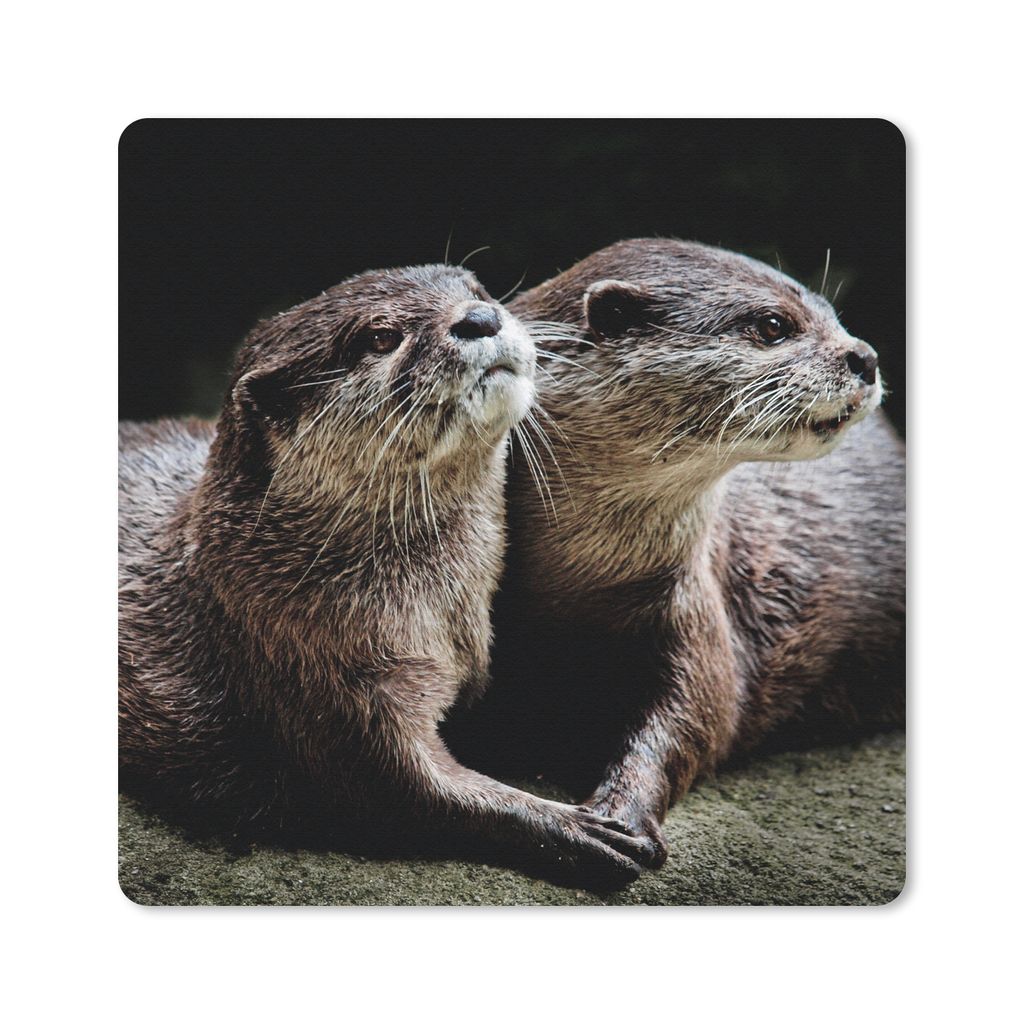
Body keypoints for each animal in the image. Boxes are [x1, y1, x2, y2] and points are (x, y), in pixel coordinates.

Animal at [119, 264, 653, 888]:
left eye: (477, 291)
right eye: (379, 338)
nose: (480, 318)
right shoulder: (316, 673)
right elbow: (403, 790)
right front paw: (576, 826)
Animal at [445, 240, 905, 868]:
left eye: (834, 316)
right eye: (773, 326)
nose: (866, 357)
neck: (581, 581)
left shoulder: (696, 606)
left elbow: (696, 717)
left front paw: (623, 814)